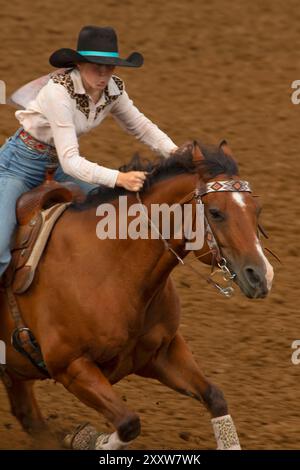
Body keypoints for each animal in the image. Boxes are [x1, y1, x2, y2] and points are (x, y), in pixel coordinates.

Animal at [0, 141, 274, 450]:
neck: (110, 270)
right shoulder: (71, 366)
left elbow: (215, 397)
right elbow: (129, 423)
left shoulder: (162, 352)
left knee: (28, 415)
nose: (262, 276)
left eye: (257, 210)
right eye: (215, 212)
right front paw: (83, 437)